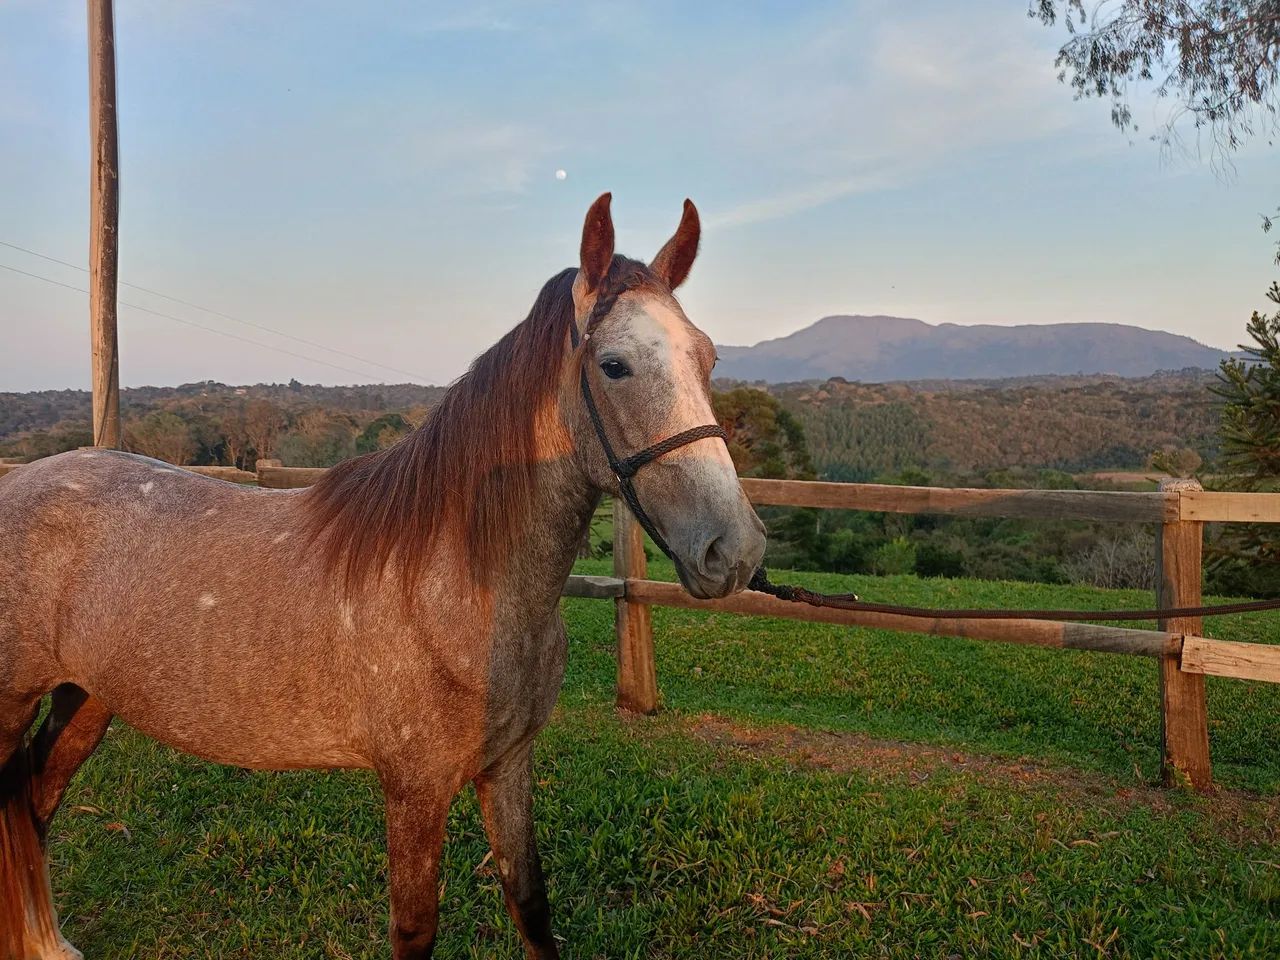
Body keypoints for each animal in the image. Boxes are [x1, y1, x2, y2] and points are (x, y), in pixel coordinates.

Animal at [0, 193, 766, 960]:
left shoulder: (508, 767)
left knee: (34, 803)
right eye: (613, 365)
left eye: (706, 358)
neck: (460, 588)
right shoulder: (415, 791)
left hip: (86, 699)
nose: (733, 550)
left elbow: (530, 904)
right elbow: (415, 930)